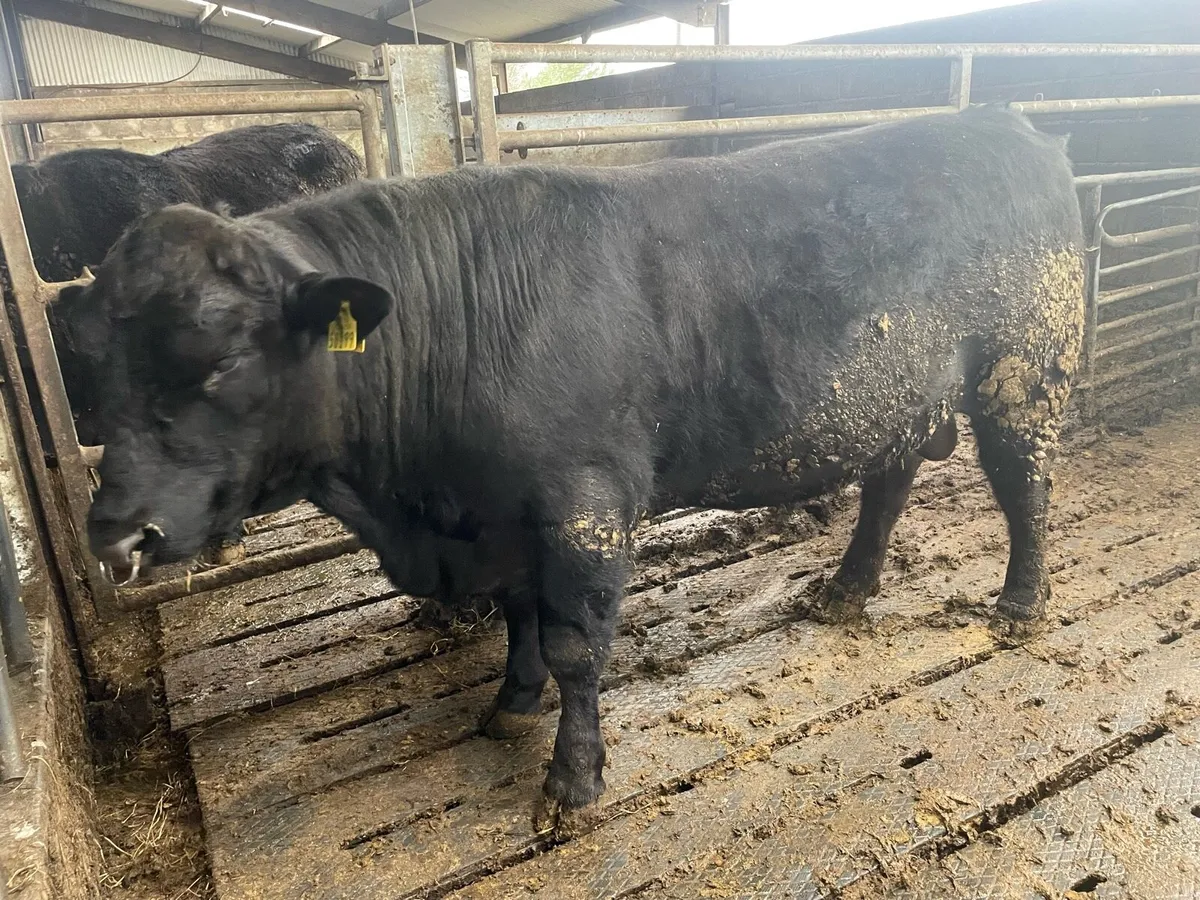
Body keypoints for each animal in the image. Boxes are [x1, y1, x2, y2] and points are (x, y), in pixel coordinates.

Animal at [61, 105, 1084, 831]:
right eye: (97, 367)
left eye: (221, 359)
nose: (116, 535)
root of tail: (1011, 125)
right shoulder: (502, 516)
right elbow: (521, 620)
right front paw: (510, 705)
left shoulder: (584, 507)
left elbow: (575, 649)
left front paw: (571, 778)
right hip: (896, 398)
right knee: (888, 483)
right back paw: (846, 588)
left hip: (1023, 371)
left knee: (1025, 489)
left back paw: (1020, 606)